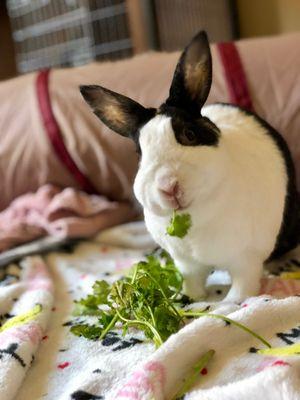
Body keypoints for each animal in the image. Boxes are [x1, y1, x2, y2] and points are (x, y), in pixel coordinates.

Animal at [79, 31, 300, 302]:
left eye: (190, 134)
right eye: (140, 152)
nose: (168, 186)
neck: (195, 216)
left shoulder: (246, 260)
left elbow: (243, 286)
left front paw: (231, 303)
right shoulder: (186, 263)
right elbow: (192, 281)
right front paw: (188, 299)